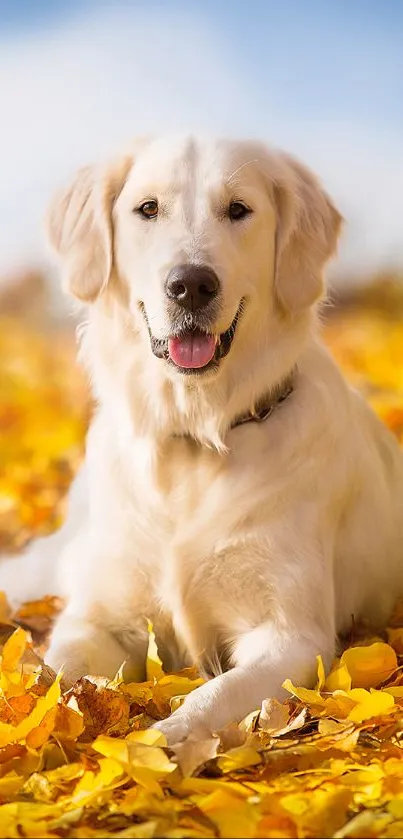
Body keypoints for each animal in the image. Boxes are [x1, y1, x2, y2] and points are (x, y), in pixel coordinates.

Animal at [1, 135, 402, 744]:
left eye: (238, 209)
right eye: (147, 209)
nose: (191, 285)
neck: (192, 438)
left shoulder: (291, 637)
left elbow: (213, 696)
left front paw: (166, 743)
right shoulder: (100, 617)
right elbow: (53, 673)